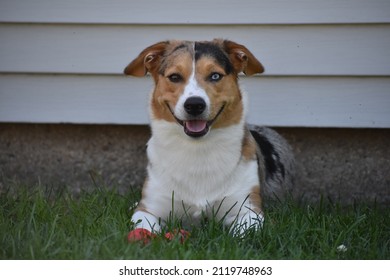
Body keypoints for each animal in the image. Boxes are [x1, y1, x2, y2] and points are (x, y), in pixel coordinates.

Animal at [123, 38, 294, 241]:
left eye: (215, 76)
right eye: (174, 77)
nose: (194, 105)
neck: (197, 149)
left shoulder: (249, 211)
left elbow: (241, 234)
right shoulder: (148, 210)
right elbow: (146, 225)